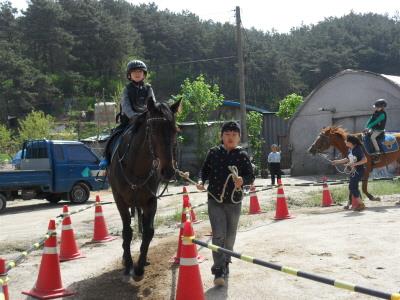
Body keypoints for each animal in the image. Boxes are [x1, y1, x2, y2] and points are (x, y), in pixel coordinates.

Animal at [108, 98, 180, 282]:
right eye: (153, 130)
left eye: (175, 130)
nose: (168, 171)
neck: (136, 167)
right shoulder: (120, 201)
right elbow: (127, 232)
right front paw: (128, 264)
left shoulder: (150, 201)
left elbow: (149, 232)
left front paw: (139, 267)